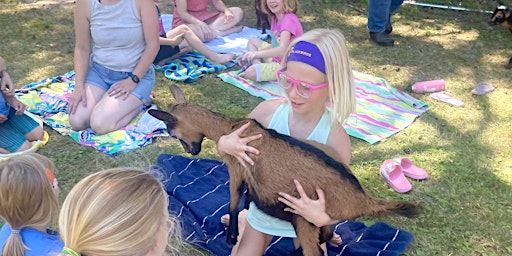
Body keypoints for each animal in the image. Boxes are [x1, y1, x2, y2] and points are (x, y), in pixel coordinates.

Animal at [150, 86, 422, 256]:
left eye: (172, 133)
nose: (193, 152)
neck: (230, 128)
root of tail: (362, 199)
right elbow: (245, 198)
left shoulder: (236, 168)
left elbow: (233, 201)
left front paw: (231, 236)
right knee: (323, 235)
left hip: (304, 219)